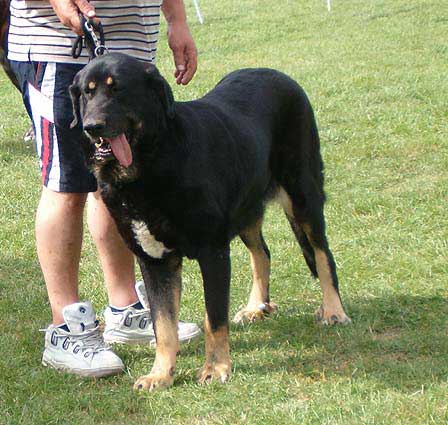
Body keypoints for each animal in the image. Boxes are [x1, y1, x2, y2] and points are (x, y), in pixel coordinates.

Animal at [70, 53, 350, 390]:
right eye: (87, 93)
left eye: (118, 89)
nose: (91, 126)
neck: (152, 162)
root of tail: (279, 75)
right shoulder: (155, 260)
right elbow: (163, 326)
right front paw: (160, 374)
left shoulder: (213, 252)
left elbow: (214, 318)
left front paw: (216, 368)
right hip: (247, 207)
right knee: (263, 253)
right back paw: (256, 306)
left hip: (303, 195)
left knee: (322, 254)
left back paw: (333, 309)